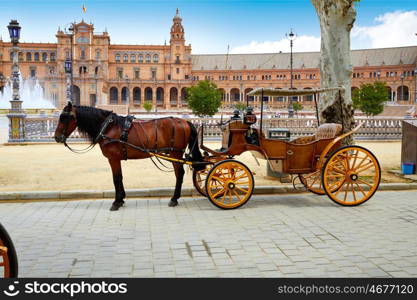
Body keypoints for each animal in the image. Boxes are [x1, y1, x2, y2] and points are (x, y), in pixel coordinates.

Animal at [53, 102, 203, 211]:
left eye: (64, 118)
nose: (56, 137)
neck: (108, 127)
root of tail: (185, 122)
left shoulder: (113, 158)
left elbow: (116, 178)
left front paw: (116, 201)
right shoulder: (116, 159)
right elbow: (120, 177)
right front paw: (121, 199)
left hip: (175, 153)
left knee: (179, 174)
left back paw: (174, 198)